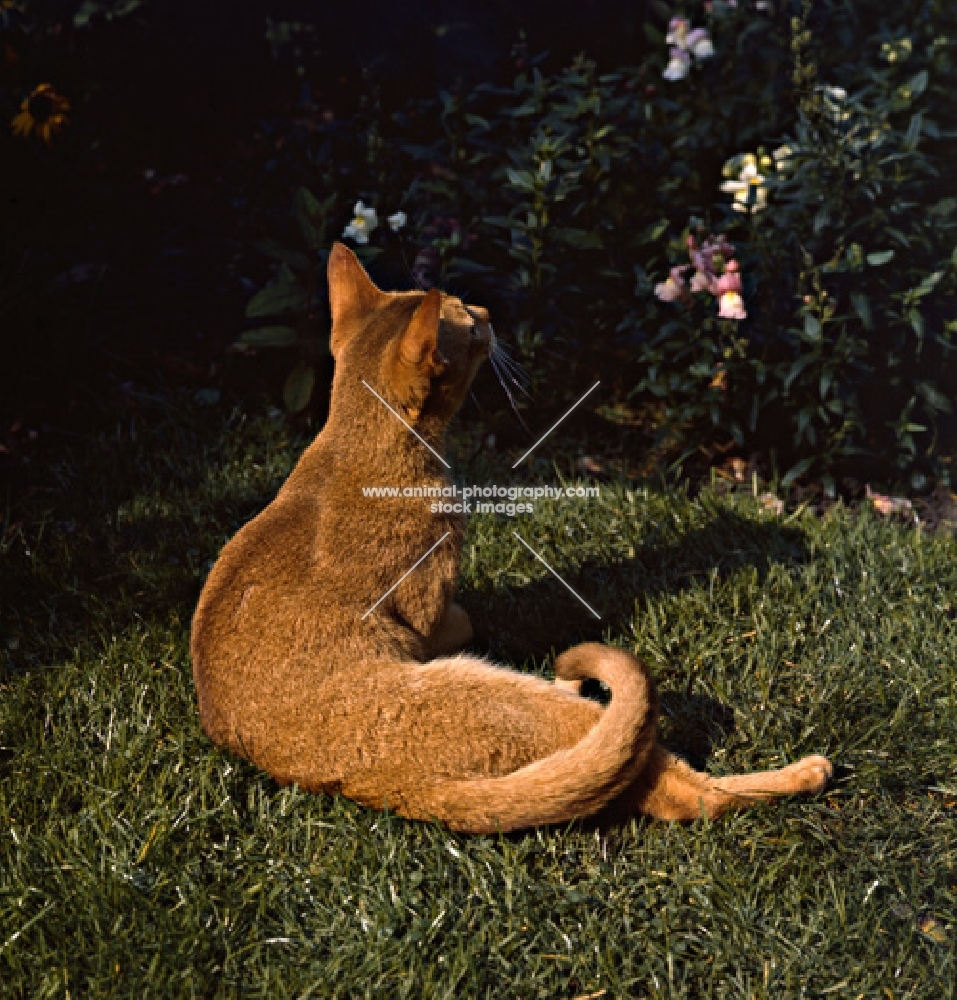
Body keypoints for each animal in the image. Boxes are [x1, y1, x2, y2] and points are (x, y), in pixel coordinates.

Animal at [189, 244, 828, 836]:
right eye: (470, 325)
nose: (488, 311)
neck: (352, 445)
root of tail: (402, 793)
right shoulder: (426, 600)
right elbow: (453, 617)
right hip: (520, 702)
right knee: (683, 793)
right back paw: (807, 772)